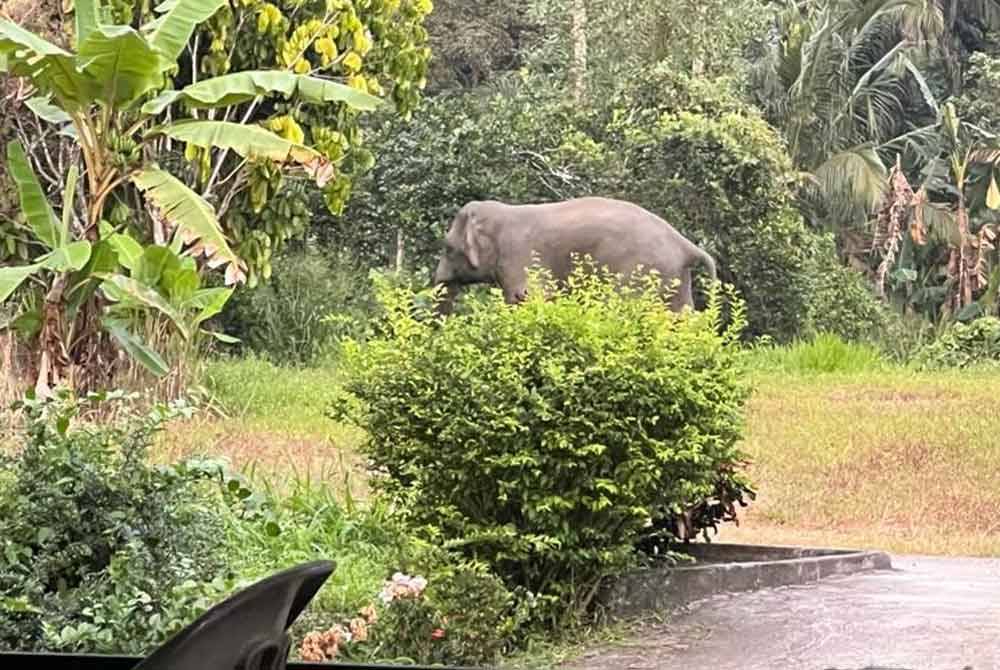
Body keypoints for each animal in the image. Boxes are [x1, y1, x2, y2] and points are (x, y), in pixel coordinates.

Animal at [434, 194, 716, 316]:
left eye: (447, 248)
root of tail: (686, 245)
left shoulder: (520, 256)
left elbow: (526, 298)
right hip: (674, 278)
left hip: (644, 273)